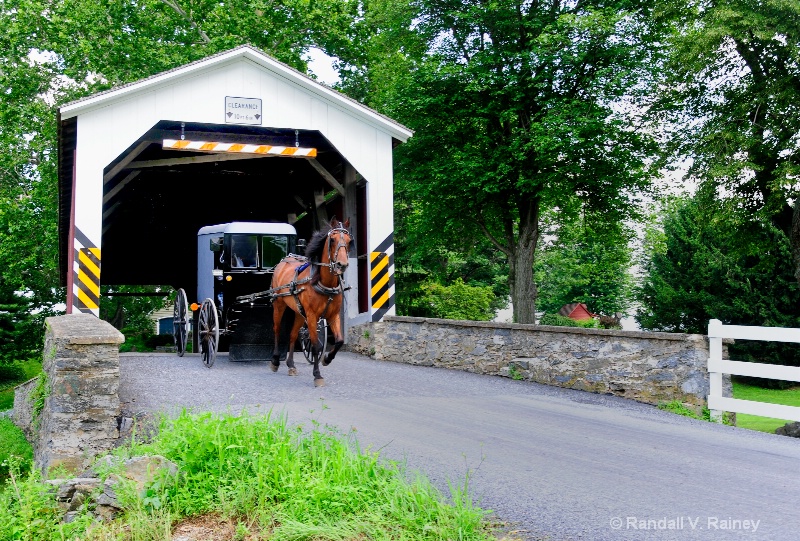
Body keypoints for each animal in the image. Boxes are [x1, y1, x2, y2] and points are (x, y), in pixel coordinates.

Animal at [270, 217, 352, 386]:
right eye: (332, 240)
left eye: (349, 241)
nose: (342, 264)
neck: (323, 283)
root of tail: (284, 261)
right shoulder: (312, 316)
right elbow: (315, 346)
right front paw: (317, 375)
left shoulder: (333, 315)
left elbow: (339, 341)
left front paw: (327, 359)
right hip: (279, 304)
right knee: (277, 329)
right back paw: (275, 361)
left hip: (299, 312)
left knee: (293, 334)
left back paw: (291, 365)